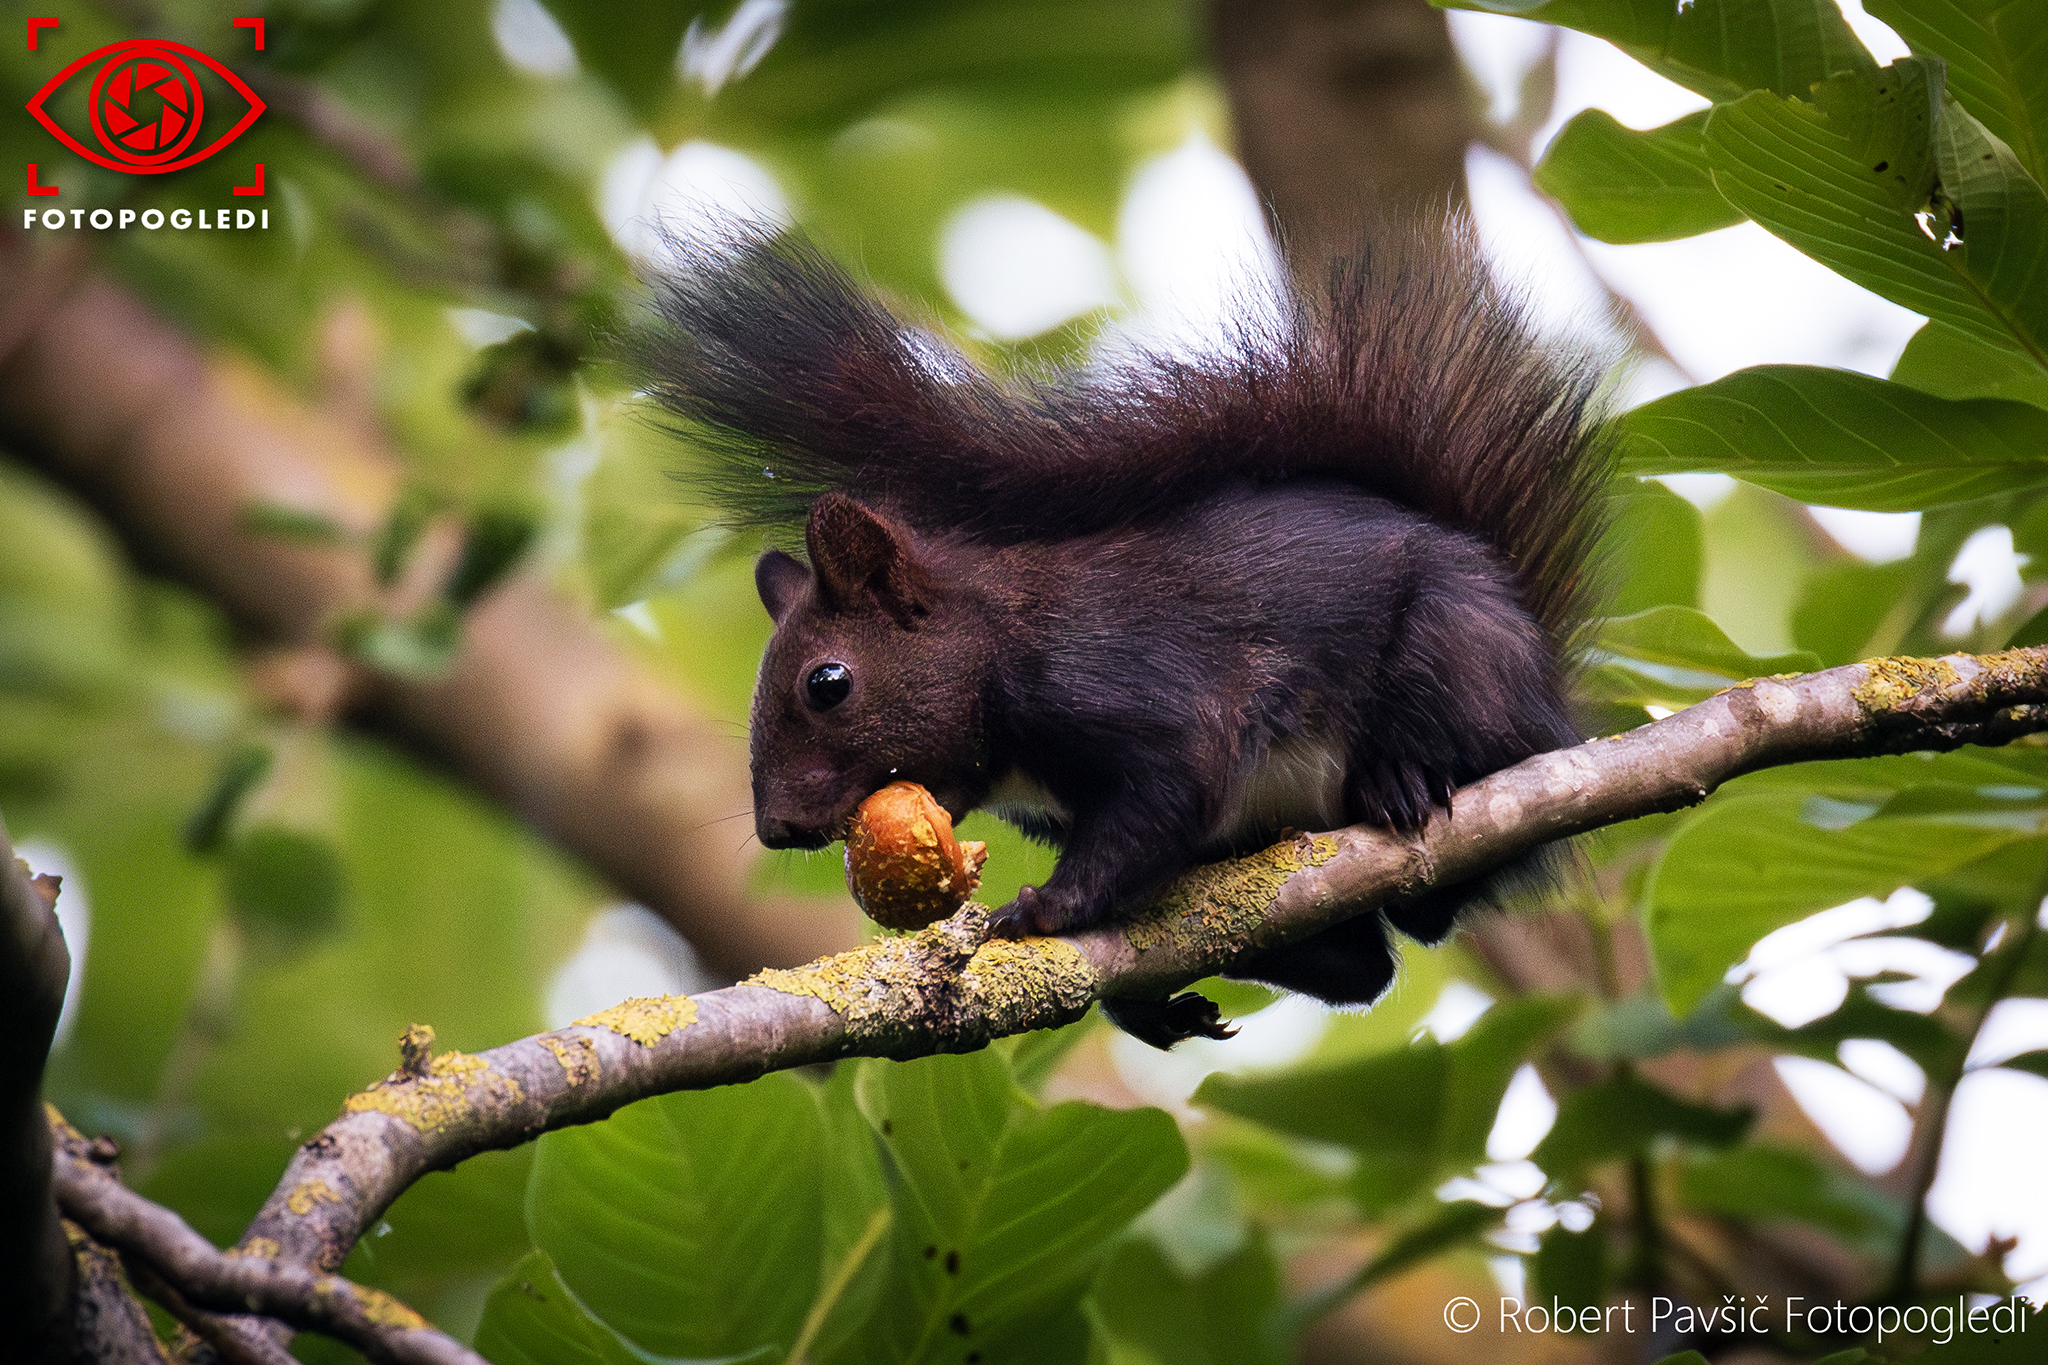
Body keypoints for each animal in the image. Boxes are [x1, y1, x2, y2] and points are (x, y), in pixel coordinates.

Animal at [640, 222, 1612, 1048]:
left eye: (828, 682)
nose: (776, 829)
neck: (999, 646)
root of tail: (1542, 669)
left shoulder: (1128, 687)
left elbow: (1166, 791)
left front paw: (1041, 911)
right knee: (1369, 962)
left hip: (1454, 656)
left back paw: (1404, 778)